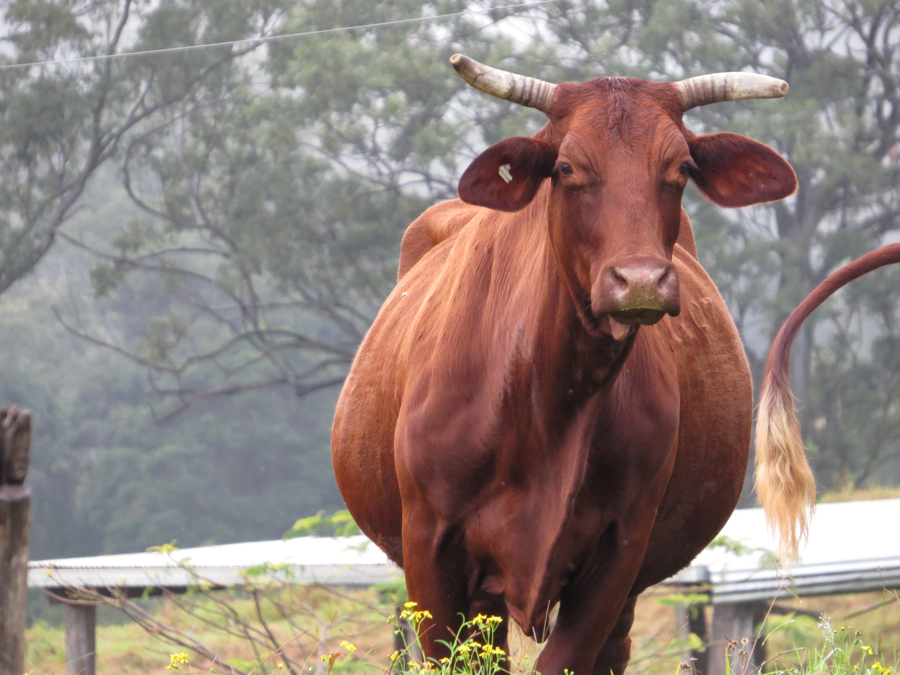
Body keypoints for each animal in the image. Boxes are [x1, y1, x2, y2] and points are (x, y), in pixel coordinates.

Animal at [334, 58, 804, 675]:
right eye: (565, 167)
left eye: (681, 167)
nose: (640, 281)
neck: (547, 404)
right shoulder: (429, 545)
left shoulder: (620, 551)